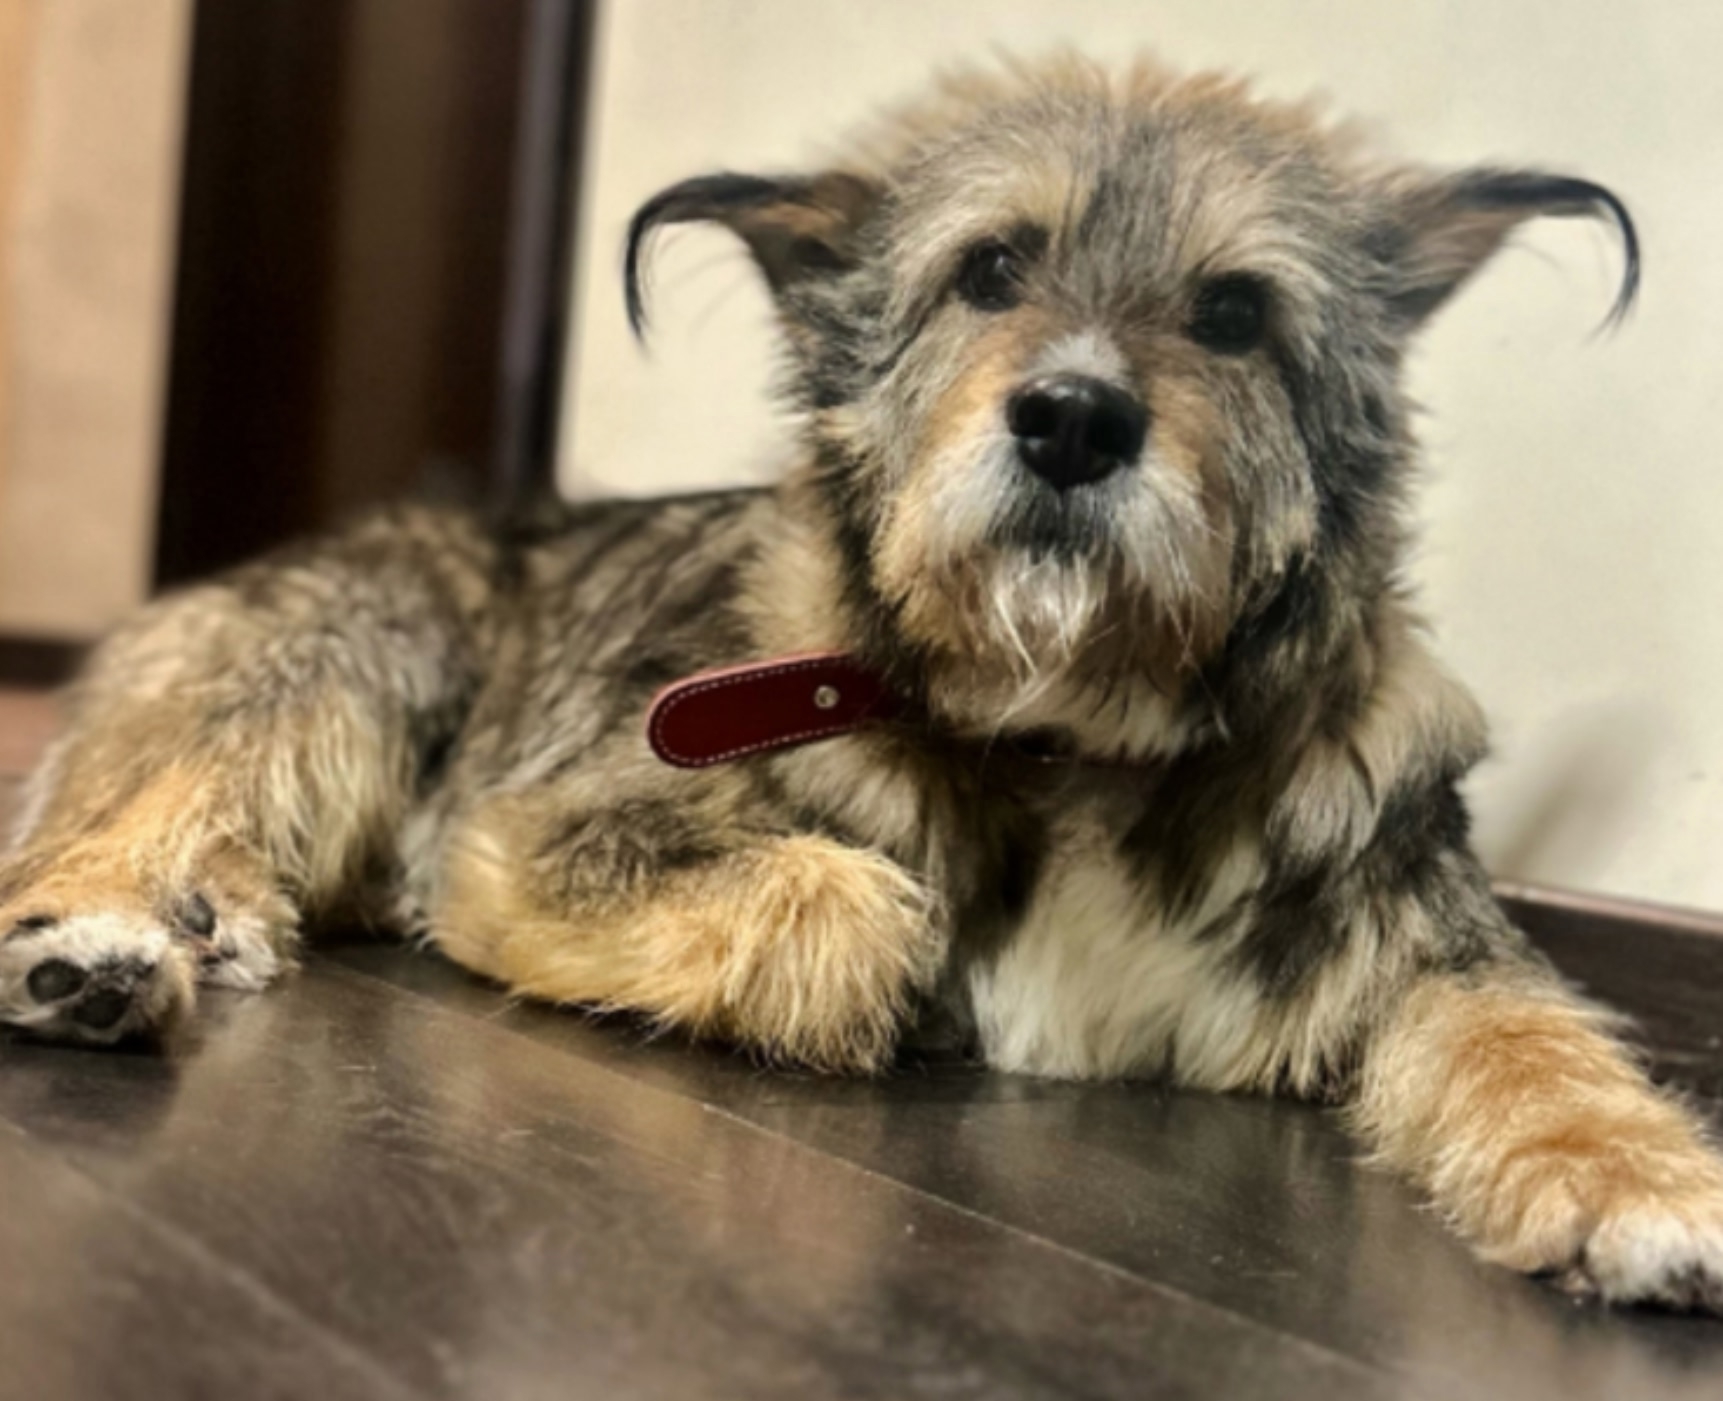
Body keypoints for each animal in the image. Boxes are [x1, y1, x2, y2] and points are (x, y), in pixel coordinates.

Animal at [3, 52, 1720, 1313]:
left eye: (1234, 311)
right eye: (988, 271)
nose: (1073, 421)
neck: (1062, 731)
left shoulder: (1416, 934)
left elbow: (1525, 1033)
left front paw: (1642, 1179)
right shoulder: (523, 837)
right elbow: (852, 903)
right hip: (340, 678)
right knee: (127, 799)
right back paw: (99, 940)